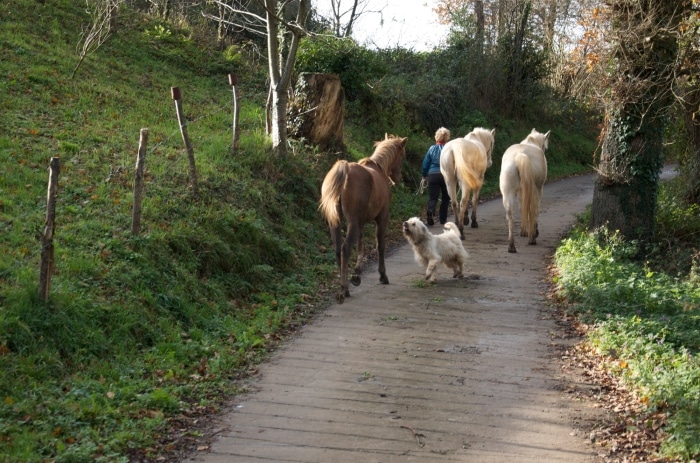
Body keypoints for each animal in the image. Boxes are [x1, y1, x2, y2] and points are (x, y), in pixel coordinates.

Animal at [320, 135, 408, 304]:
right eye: (402, 156)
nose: (399, 178)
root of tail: (345, 170)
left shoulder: (360, 223)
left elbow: (361, 247)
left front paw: (356, 275)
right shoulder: (381, 219)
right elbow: (380, 246)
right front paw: (382, 275)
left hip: (336, 223)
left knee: (338, 250)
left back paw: (345, 287)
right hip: (352, 223)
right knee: (346, 248)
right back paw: (343, 290)